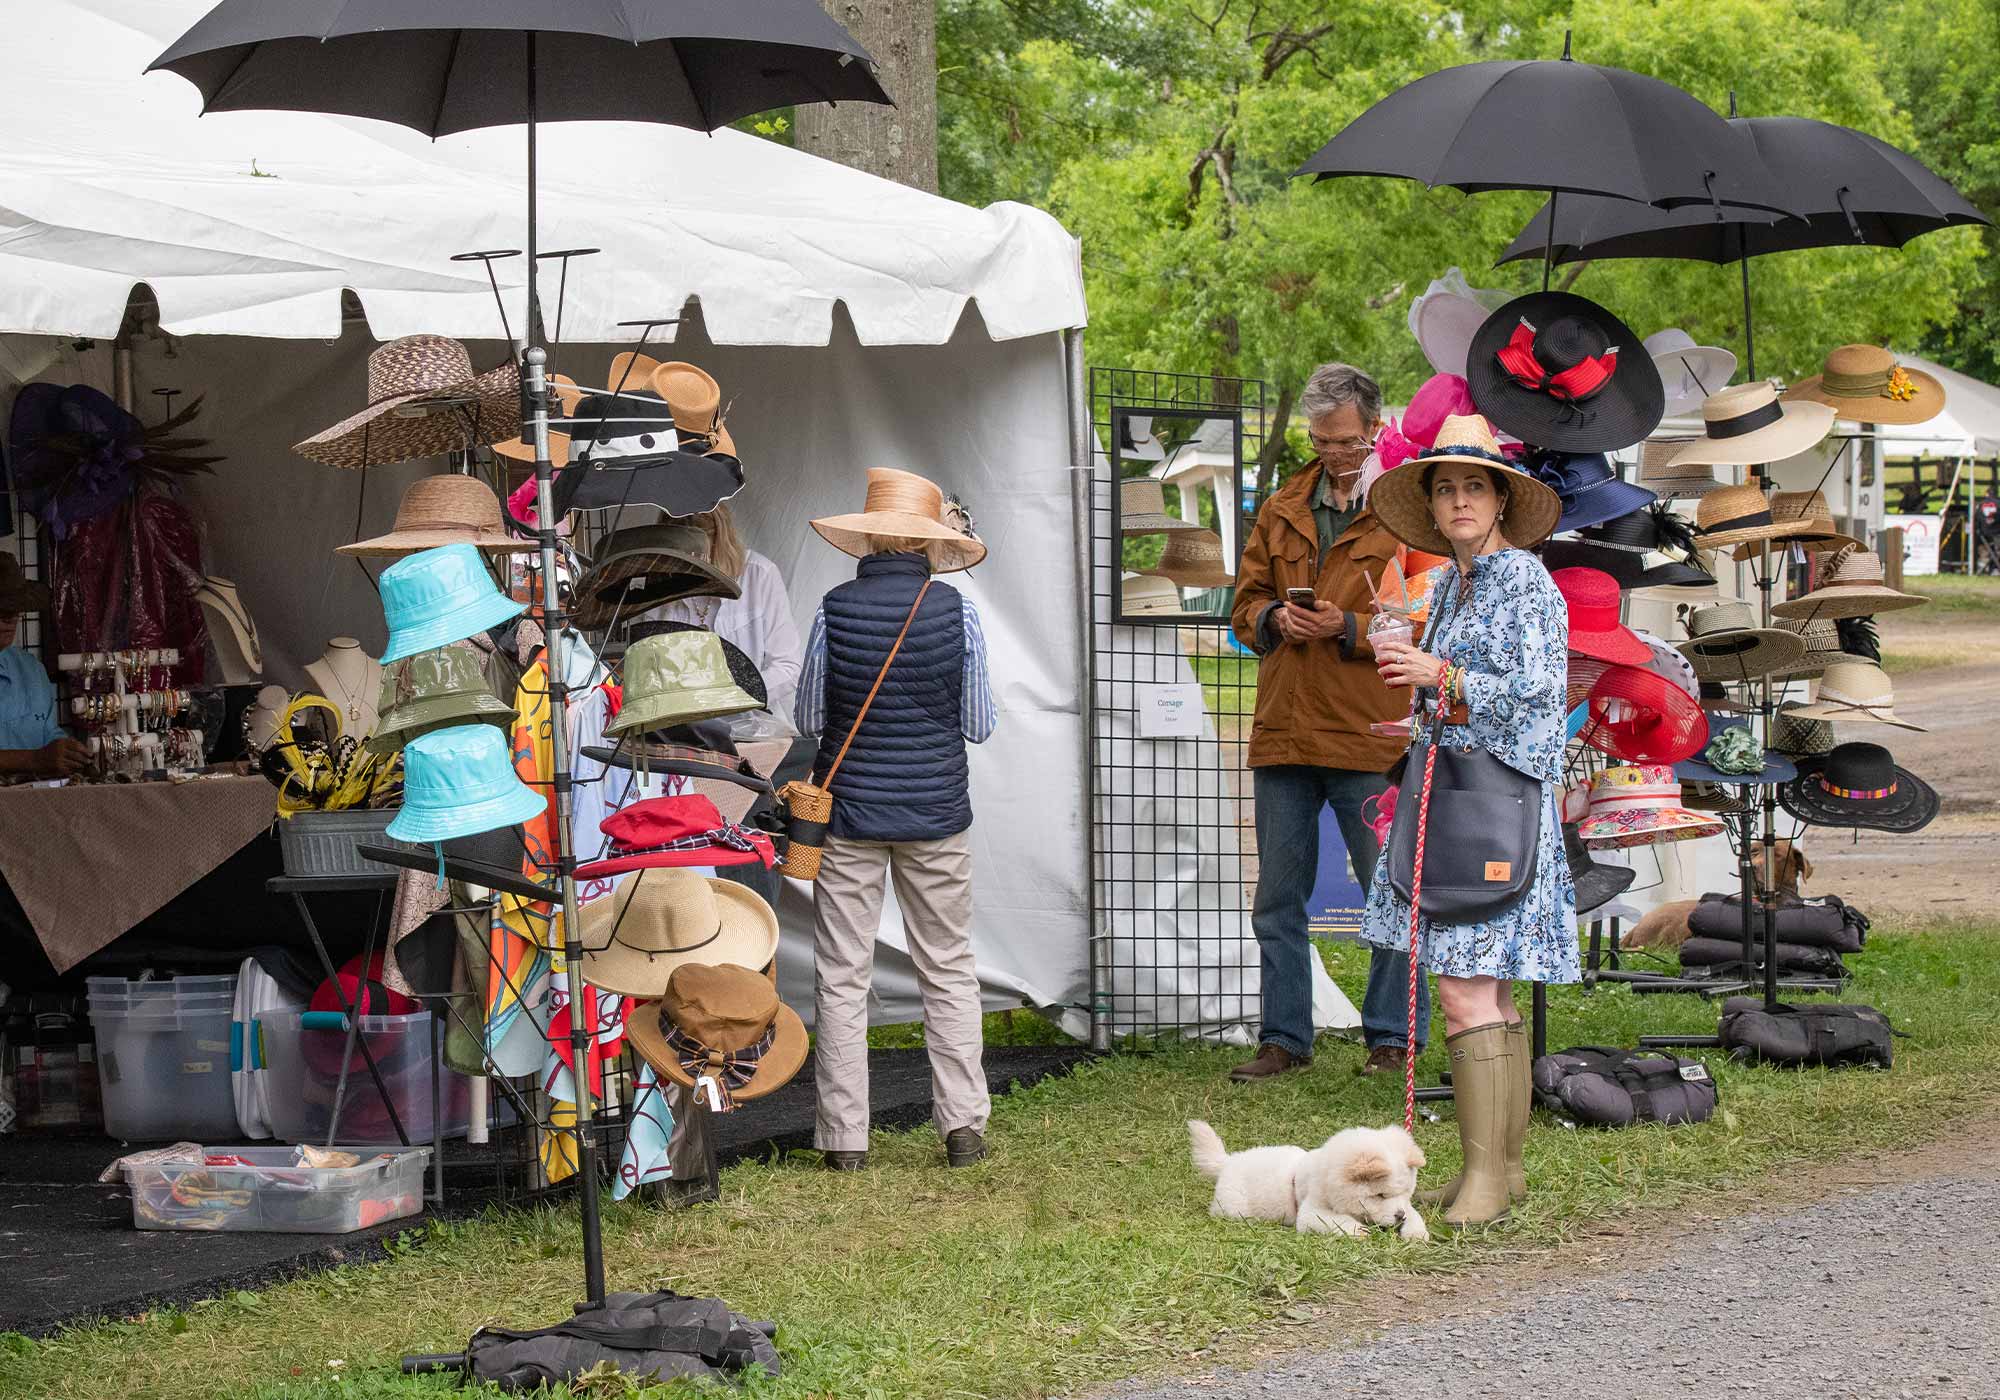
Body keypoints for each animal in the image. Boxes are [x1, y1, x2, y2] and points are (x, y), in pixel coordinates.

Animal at [1184, 1120, 1424, 1240]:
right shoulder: (1310, 1213)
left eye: (1406, 1193)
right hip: (1233, 1210)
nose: (1399, 1216)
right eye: (1380, 1195)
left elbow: (1415, 1214)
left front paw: (1416, 1232)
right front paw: (1358, 1230)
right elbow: (1337, 1220)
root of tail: (1229, 1161)